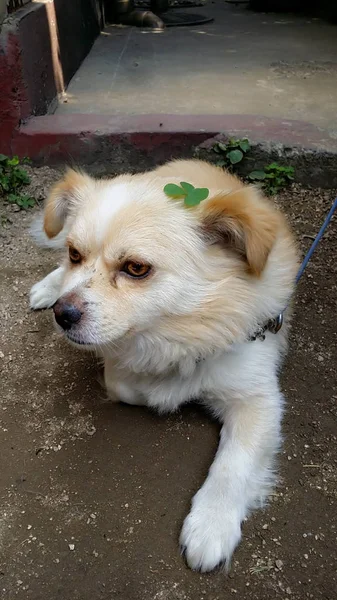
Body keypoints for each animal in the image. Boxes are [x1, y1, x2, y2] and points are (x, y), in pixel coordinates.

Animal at [29, 159, 296, 572]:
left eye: (136, 268)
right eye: (75, 254)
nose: (62, 314)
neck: (180, 330)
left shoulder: (259, 398)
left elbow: (233, 464)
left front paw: (211, 525)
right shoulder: (118, 366)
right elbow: (131, 385)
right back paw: (46, 289)